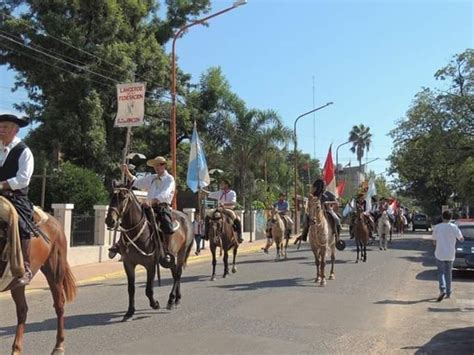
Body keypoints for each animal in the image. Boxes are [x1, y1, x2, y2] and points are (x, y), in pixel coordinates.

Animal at [0, 197, 76, 355]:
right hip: (16, 283)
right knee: (22, 310)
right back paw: (16, 349)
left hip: (54, 271)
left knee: (59, 304)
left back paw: (59, 346)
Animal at [105, 184, 193, 320]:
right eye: (112, 196)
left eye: (124, 197)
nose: (110, 220)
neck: (136, 232)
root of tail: (186, 218)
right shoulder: (128, 264)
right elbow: (131, 288)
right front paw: (130, 312)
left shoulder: (150, 264)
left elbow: (148, 289)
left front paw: (155, 304)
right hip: (171, 258)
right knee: (175, 273)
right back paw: (176, 299)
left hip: (182, 252)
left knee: (178, 274)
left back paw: (171, 300)